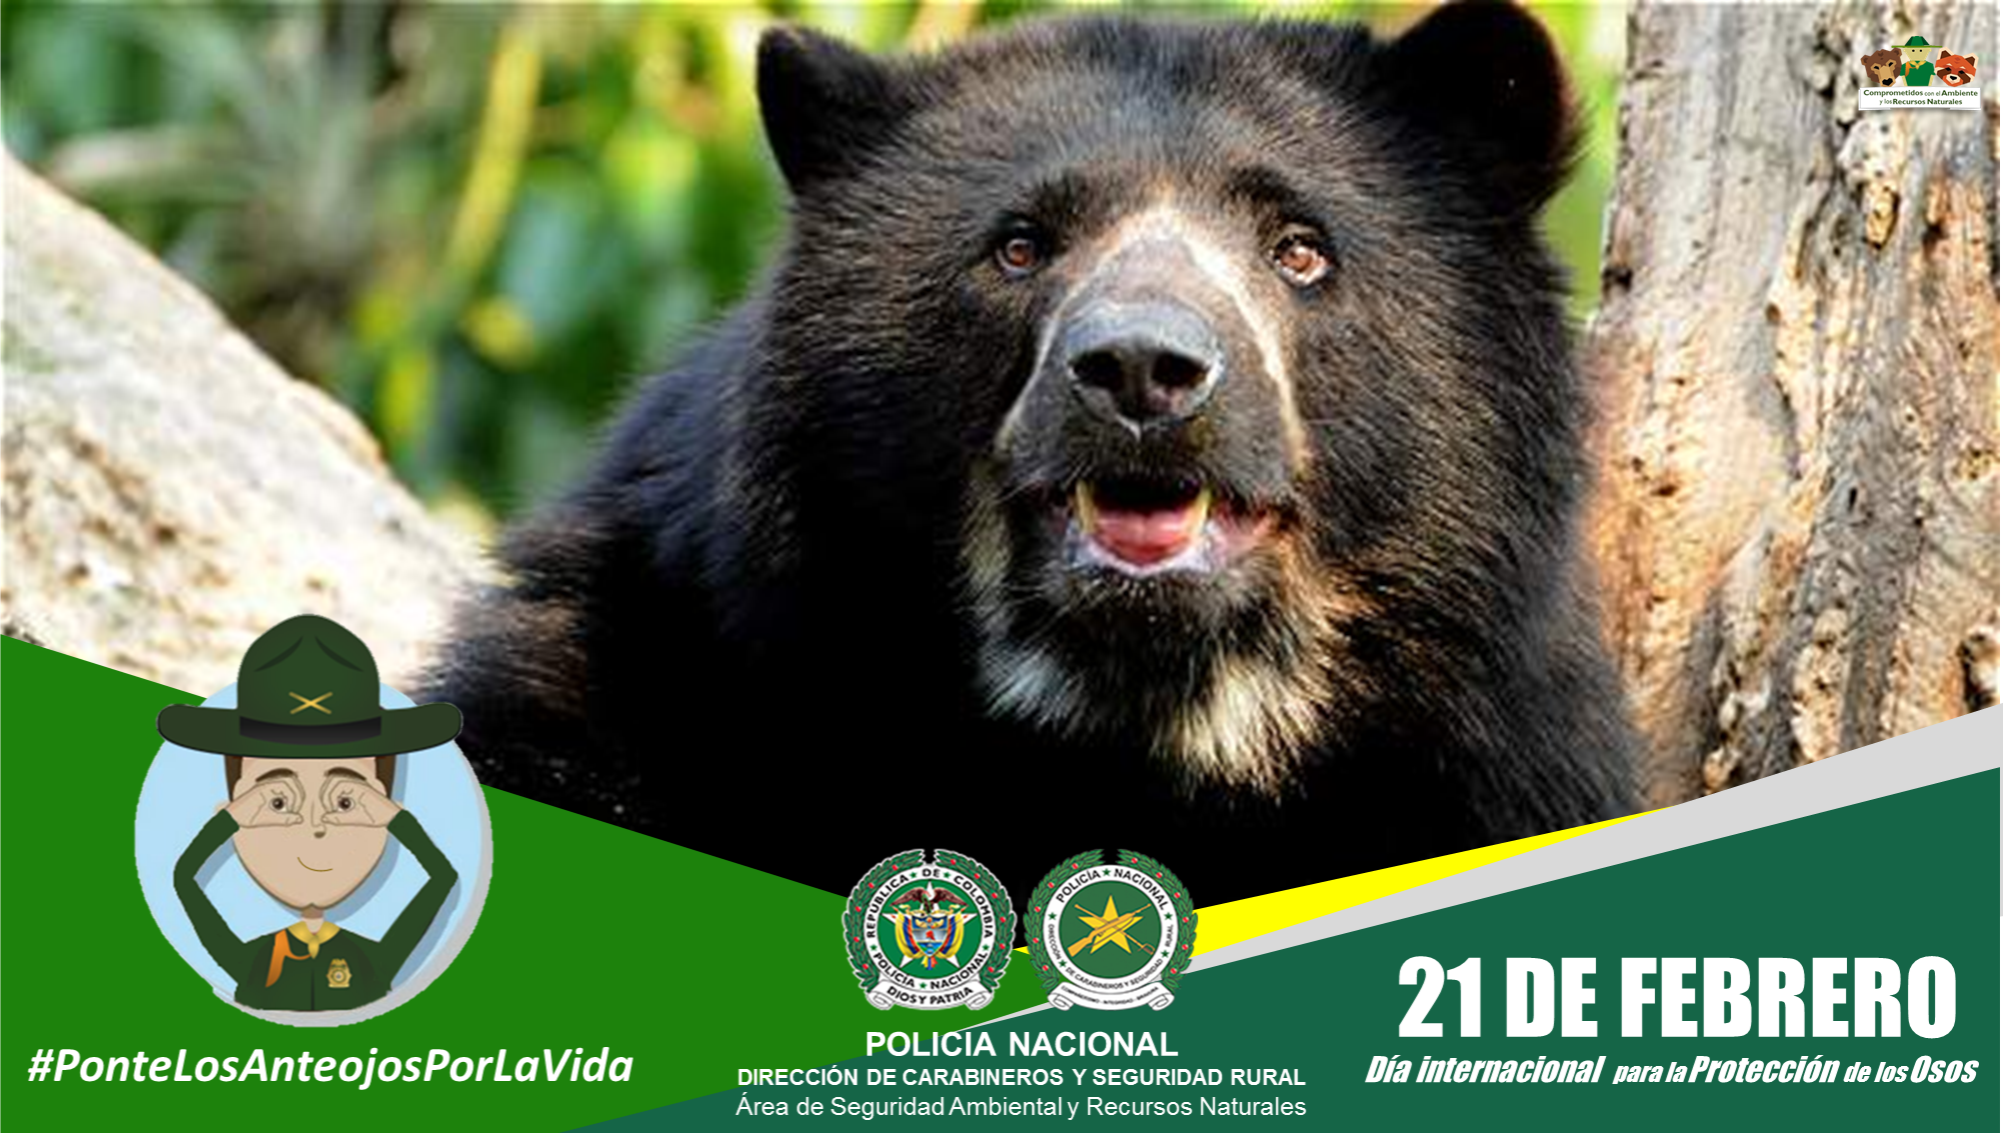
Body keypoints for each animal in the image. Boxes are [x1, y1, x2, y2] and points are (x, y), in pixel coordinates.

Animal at [427, 0, 1638, 911]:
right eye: (1016, 247)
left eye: (1300, 250)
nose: (1142, 371)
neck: (1127, 731)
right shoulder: (644, 666)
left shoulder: (1490, 765)